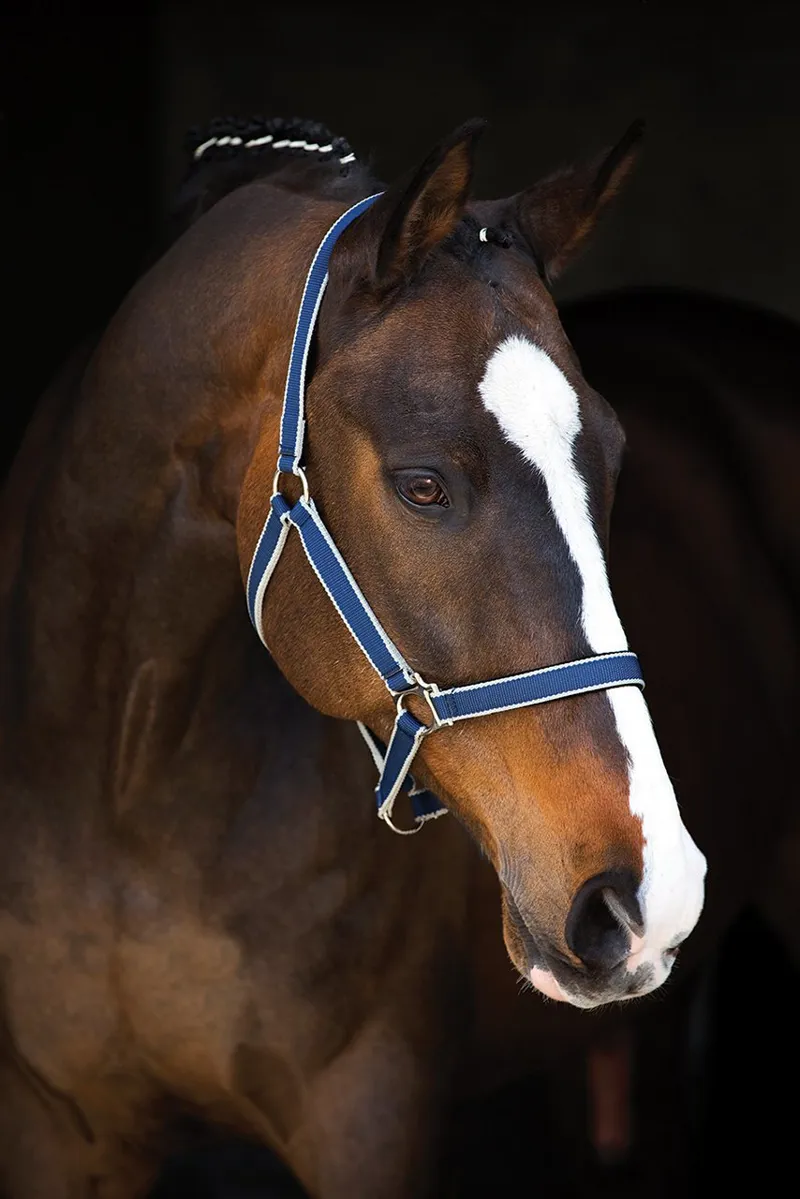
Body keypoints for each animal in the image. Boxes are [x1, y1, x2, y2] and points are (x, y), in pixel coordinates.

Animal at [0, 113, 714, 1198]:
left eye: (613, 460)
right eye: (423, 484)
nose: (648, 894)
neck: (124, 782)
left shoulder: (368, 1120)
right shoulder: (54, 1129)